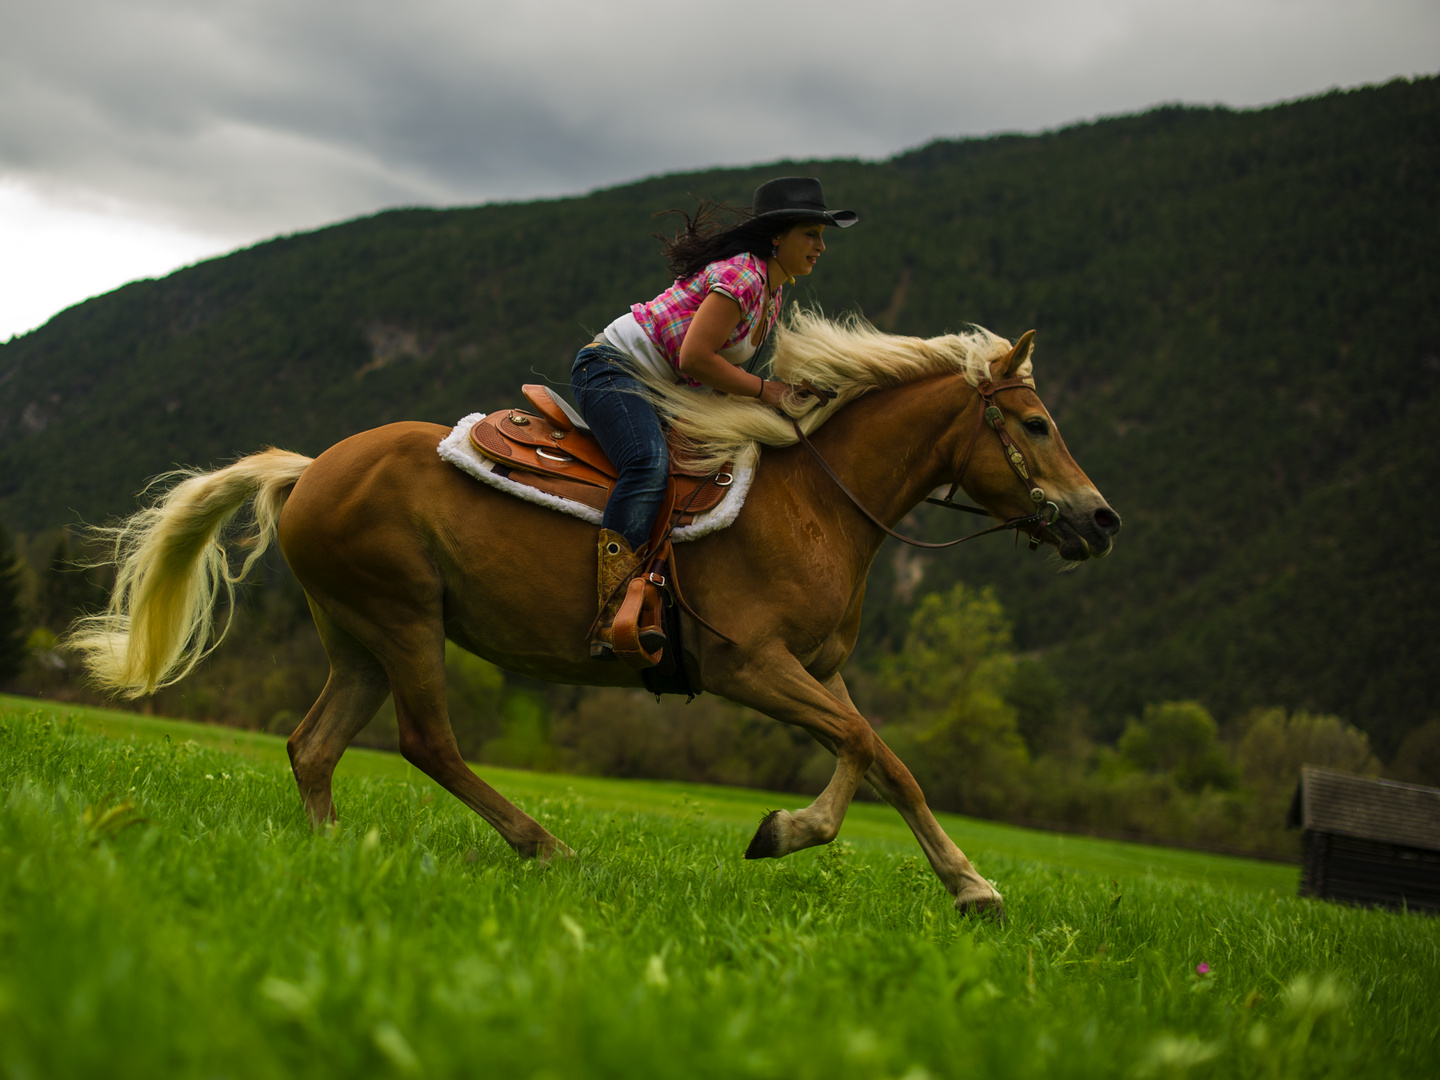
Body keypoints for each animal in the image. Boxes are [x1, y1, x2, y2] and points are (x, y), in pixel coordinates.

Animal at [70, 308, 1123, 915]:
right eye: (1037, 424)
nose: (1101, 519)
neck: (815, 501)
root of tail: (310, 468)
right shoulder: (751, 667)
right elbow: (864, 749)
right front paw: (783, 833)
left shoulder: (818, 670)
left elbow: (889, 760)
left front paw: (971, 884)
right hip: (405, 619)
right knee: (427, 744)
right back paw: (546, 846)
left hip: (357, 637)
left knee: (314, 746)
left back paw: (335, 857)